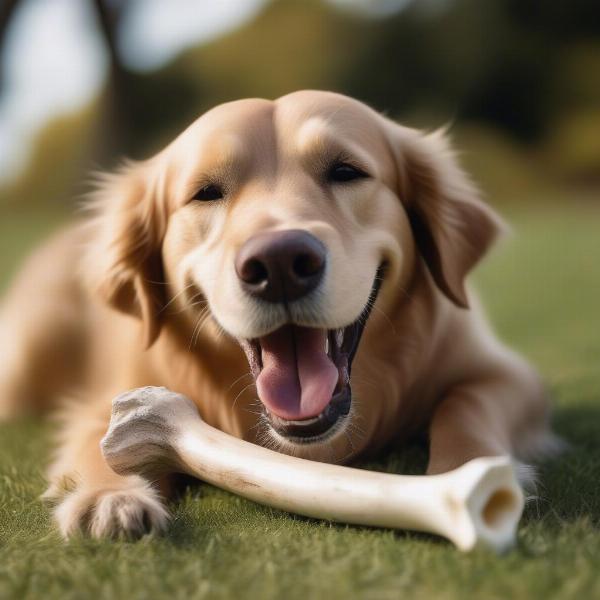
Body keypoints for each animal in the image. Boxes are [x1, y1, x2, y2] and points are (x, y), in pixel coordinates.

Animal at [0, 90, 556, 540]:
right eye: (206, 191)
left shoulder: (504, 373)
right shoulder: (110, 401)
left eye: (346, 171)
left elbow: (466, 404)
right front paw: (109, 499)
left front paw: (468, 477)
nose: (280, 264)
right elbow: (99, 444)